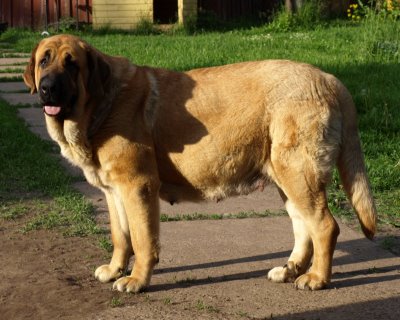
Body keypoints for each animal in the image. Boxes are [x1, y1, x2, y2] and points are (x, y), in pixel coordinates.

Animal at [23, 34, 376, 292]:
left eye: (72, 65)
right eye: (44, 61)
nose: (48, 88)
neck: (99, 106)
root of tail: (330, 79)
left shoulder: (137, 186)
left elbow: (142, 239)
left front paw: (136, 280)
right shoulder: (113, 192)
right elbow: (120, 236)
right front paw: (114, 269)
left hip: (299, 174)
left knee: (324, 226)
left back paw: (316, 279)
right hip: (286, 178)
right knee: (303, 227)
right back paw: (290, 270)